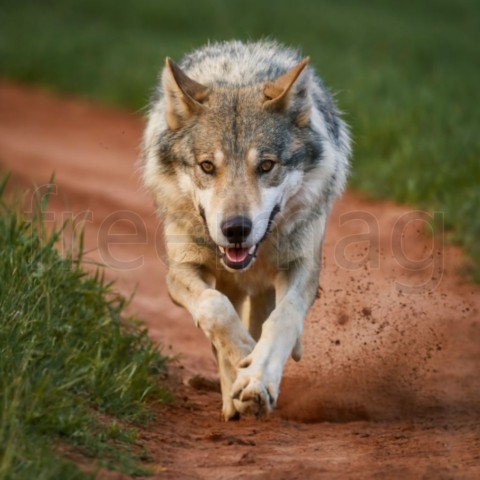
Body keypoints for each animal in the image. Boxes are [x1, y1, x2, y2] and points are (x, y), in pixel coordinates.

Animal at [142, 39, 348, 418]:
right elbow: (216, 310)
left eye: (266, 166)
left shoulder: (302, 267)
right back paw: (231, 400)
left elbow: (283, 319)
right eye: (207, 166)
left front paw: (258, 376)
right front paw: (243, 363)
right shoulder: (180, 272)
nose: (236, 228)